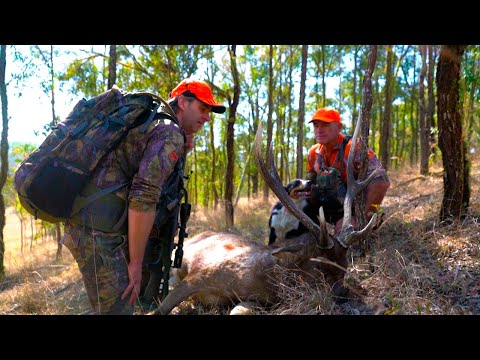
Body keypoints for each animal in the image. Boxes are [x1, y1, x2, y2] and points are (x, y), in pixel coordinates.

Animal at [148, 118, 376, 316]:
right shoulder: (199, 276)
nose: (347, 294)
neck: (267, 281)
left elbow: (237, 311)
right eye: (320, 265)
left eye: (345, 265)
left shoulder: (258, 302)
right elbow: (158, 310)